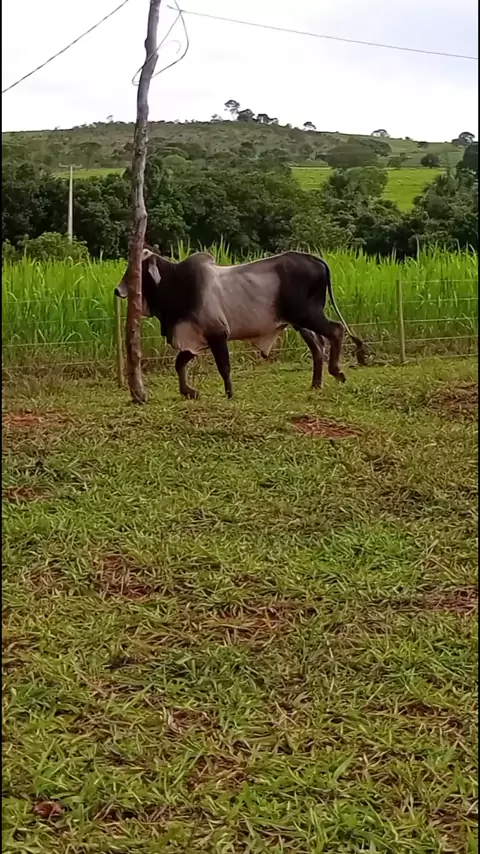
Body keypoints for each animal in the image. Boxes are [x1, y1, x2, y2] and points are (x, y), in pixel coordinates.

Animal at [114, 248, 366, 400]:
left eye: (137, 272)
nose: (118, 290)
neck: (177, 285)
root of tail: (317, 260)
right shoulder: (196, 339)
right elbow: (179, 363)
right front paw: (189, 391)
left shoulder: (217, 335)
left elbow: (224, 367)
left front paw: (229, 394)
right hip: (300, 322)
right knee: (318, 346)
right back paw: (316, 383)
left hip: (307, 315)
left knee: (336, 330)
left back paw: (337, 372)